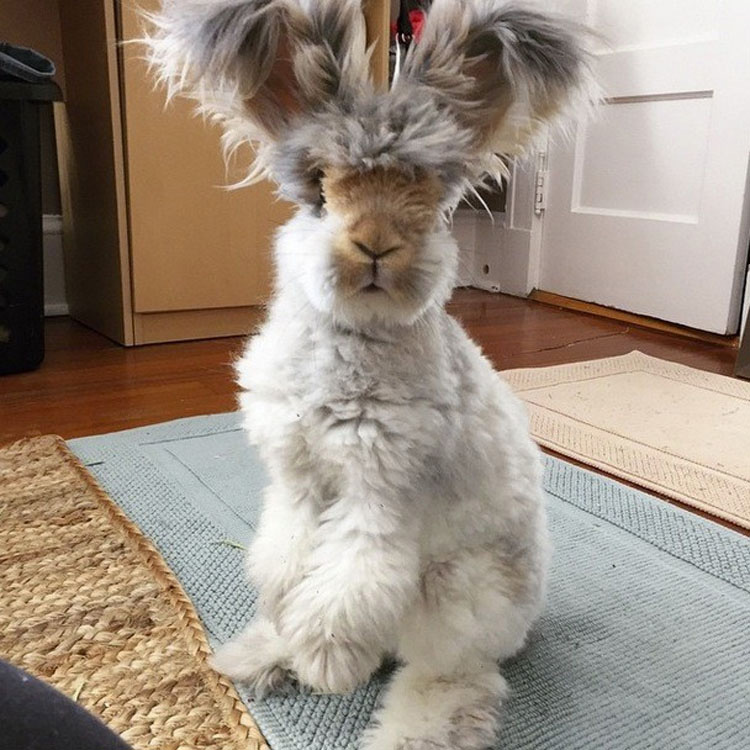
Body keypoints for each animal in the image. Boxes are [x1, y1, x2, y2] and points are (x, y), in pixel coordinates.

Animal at [145, 2, 592, 748]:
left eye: (432, 199)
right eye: (322, 191)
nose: (375, 245)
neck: (351, 331)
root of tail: (523, 627)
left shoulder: (378, 490)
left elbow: (350, 582)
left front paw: (326, 662)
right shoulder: (297, 483)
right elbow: (287, 560)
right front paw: (289, 631)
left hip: (455, 595)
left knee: (452, 677)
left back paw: (405, 728)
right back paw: (259, 657)